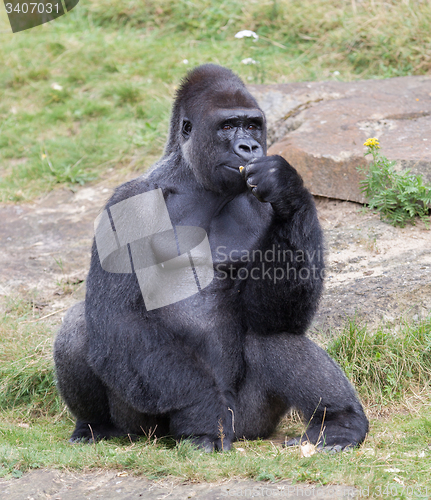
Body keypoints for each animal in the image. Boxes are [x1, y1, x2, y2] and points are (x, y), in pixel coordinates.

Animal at [54, 64, 368, 452]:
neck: (195, 180)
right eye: (228, 126)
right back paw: (97, 426)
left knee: (271, 337)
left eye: (253, 125)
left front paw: (290, 191)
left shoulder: (260, 202)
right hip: (148, 426)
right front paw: (202, 410)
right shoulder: (126, 202)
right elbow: (120, 318)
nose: (249, 146)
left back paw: (340, 422)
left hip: (248, 422)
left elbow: (275, 316)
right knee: (81, 325)